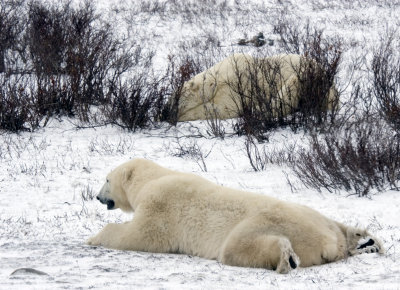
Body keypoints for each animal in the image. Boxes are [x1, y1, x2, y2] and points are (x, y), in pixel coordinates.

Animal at [88, 157, 384, 274]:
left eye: (106, 179)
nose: (97, 197)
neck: (155, 178)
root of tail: (329, 243)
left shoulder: (161, 205)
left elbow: (140, 235)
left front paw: (94, 237)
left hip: (267, 222)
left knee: (237, 247)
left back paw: (286, 257)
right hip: (314, 215)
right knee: (338, 225)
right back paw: (365, 241)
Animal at [177, 53, 340, 122]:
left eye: (176, 98)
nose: (169, 111)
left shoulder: (237, 84)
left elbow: (222, 109)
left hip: (308, 78)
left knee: (288, 92)